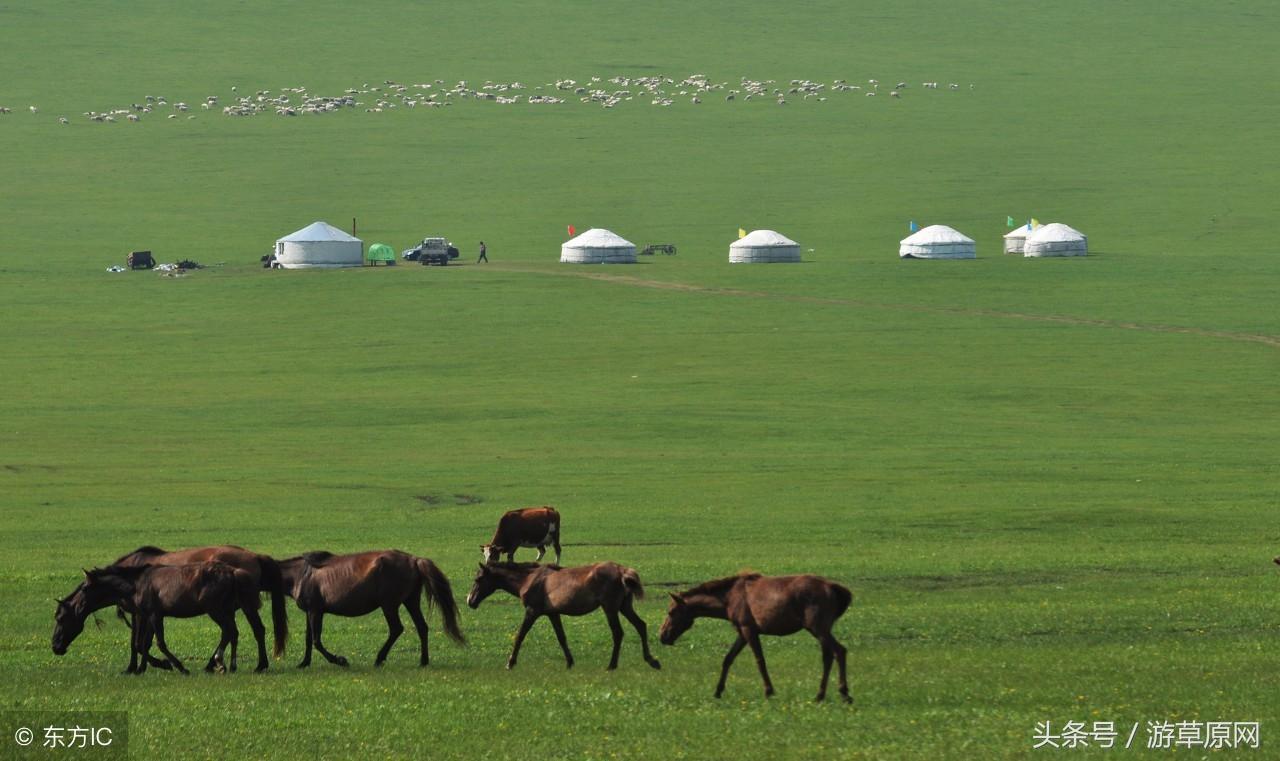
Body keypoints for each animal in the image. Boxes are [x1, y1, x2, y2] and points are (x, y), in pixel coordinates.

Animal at [53, 562, 270, 675]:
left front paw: (177, 666)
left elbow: (159, 644)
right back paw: (232, 665)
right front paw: (141, 668)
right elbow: (143, 644)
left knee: (231, 631)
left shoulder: (154, 615)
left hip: (216, 610)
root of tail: (233, 572)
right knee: (235, 632)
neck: (136, 584)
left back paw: (221, 663)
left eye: (60, 618)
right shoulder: (149, 616)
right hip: (228, 610)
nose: (55, 646)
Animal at [111, 544, 289, 670]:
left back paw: (257, 665)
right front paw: (132, 668)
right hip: (229, 609)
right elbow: (136, 642)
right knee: (235, 632)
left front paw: (160, 664)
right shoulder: (141, 614)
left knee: (253, 630)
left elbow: (138, 643)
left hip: (241, 606)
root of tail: (255, 556)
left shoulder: (143, 614)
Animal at [280, 549, 465, 670]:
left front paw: (341, 660)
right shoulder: (310, 612)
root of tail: (414, 560)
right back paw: (423, 661)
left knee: (396, 629)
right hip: (411, 601)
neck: (301, 574)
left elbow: (316, 641)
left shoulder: (315, 611)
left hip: (389, 605)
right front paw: (304, 663)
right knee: (422, 627)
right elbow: (308, 639)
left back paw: (379, 659)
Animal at [465, 560, 660, 675]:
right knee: (641, 625)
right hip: (624, 607)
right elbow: (561, 637)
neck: (529, 579)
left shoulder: (532, 611)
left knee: (618, 633)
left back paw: (611, 665)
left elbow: (520, 635)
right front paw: (570, 663)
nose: (470, 601)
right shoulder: (553, 613)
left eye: (478, 579)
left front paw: (510, 663)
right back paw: (652, 660)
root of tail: (622, 571)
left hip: (610, 608)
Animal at [660, 572, 849, 700]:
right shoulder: (742, 632)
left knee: (839, 651)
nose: (662, 636)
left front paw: (769, 691)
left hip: (818, 628)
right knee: (828, 657)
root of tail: (834, 588)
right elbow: (728, 659)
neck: (727, 600)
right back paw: (820, 695)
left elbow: (760, 661)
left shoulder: (748, 629)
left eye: (671, 612)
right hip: (821, 630)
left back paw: (844, 693)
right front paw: (718, 690)